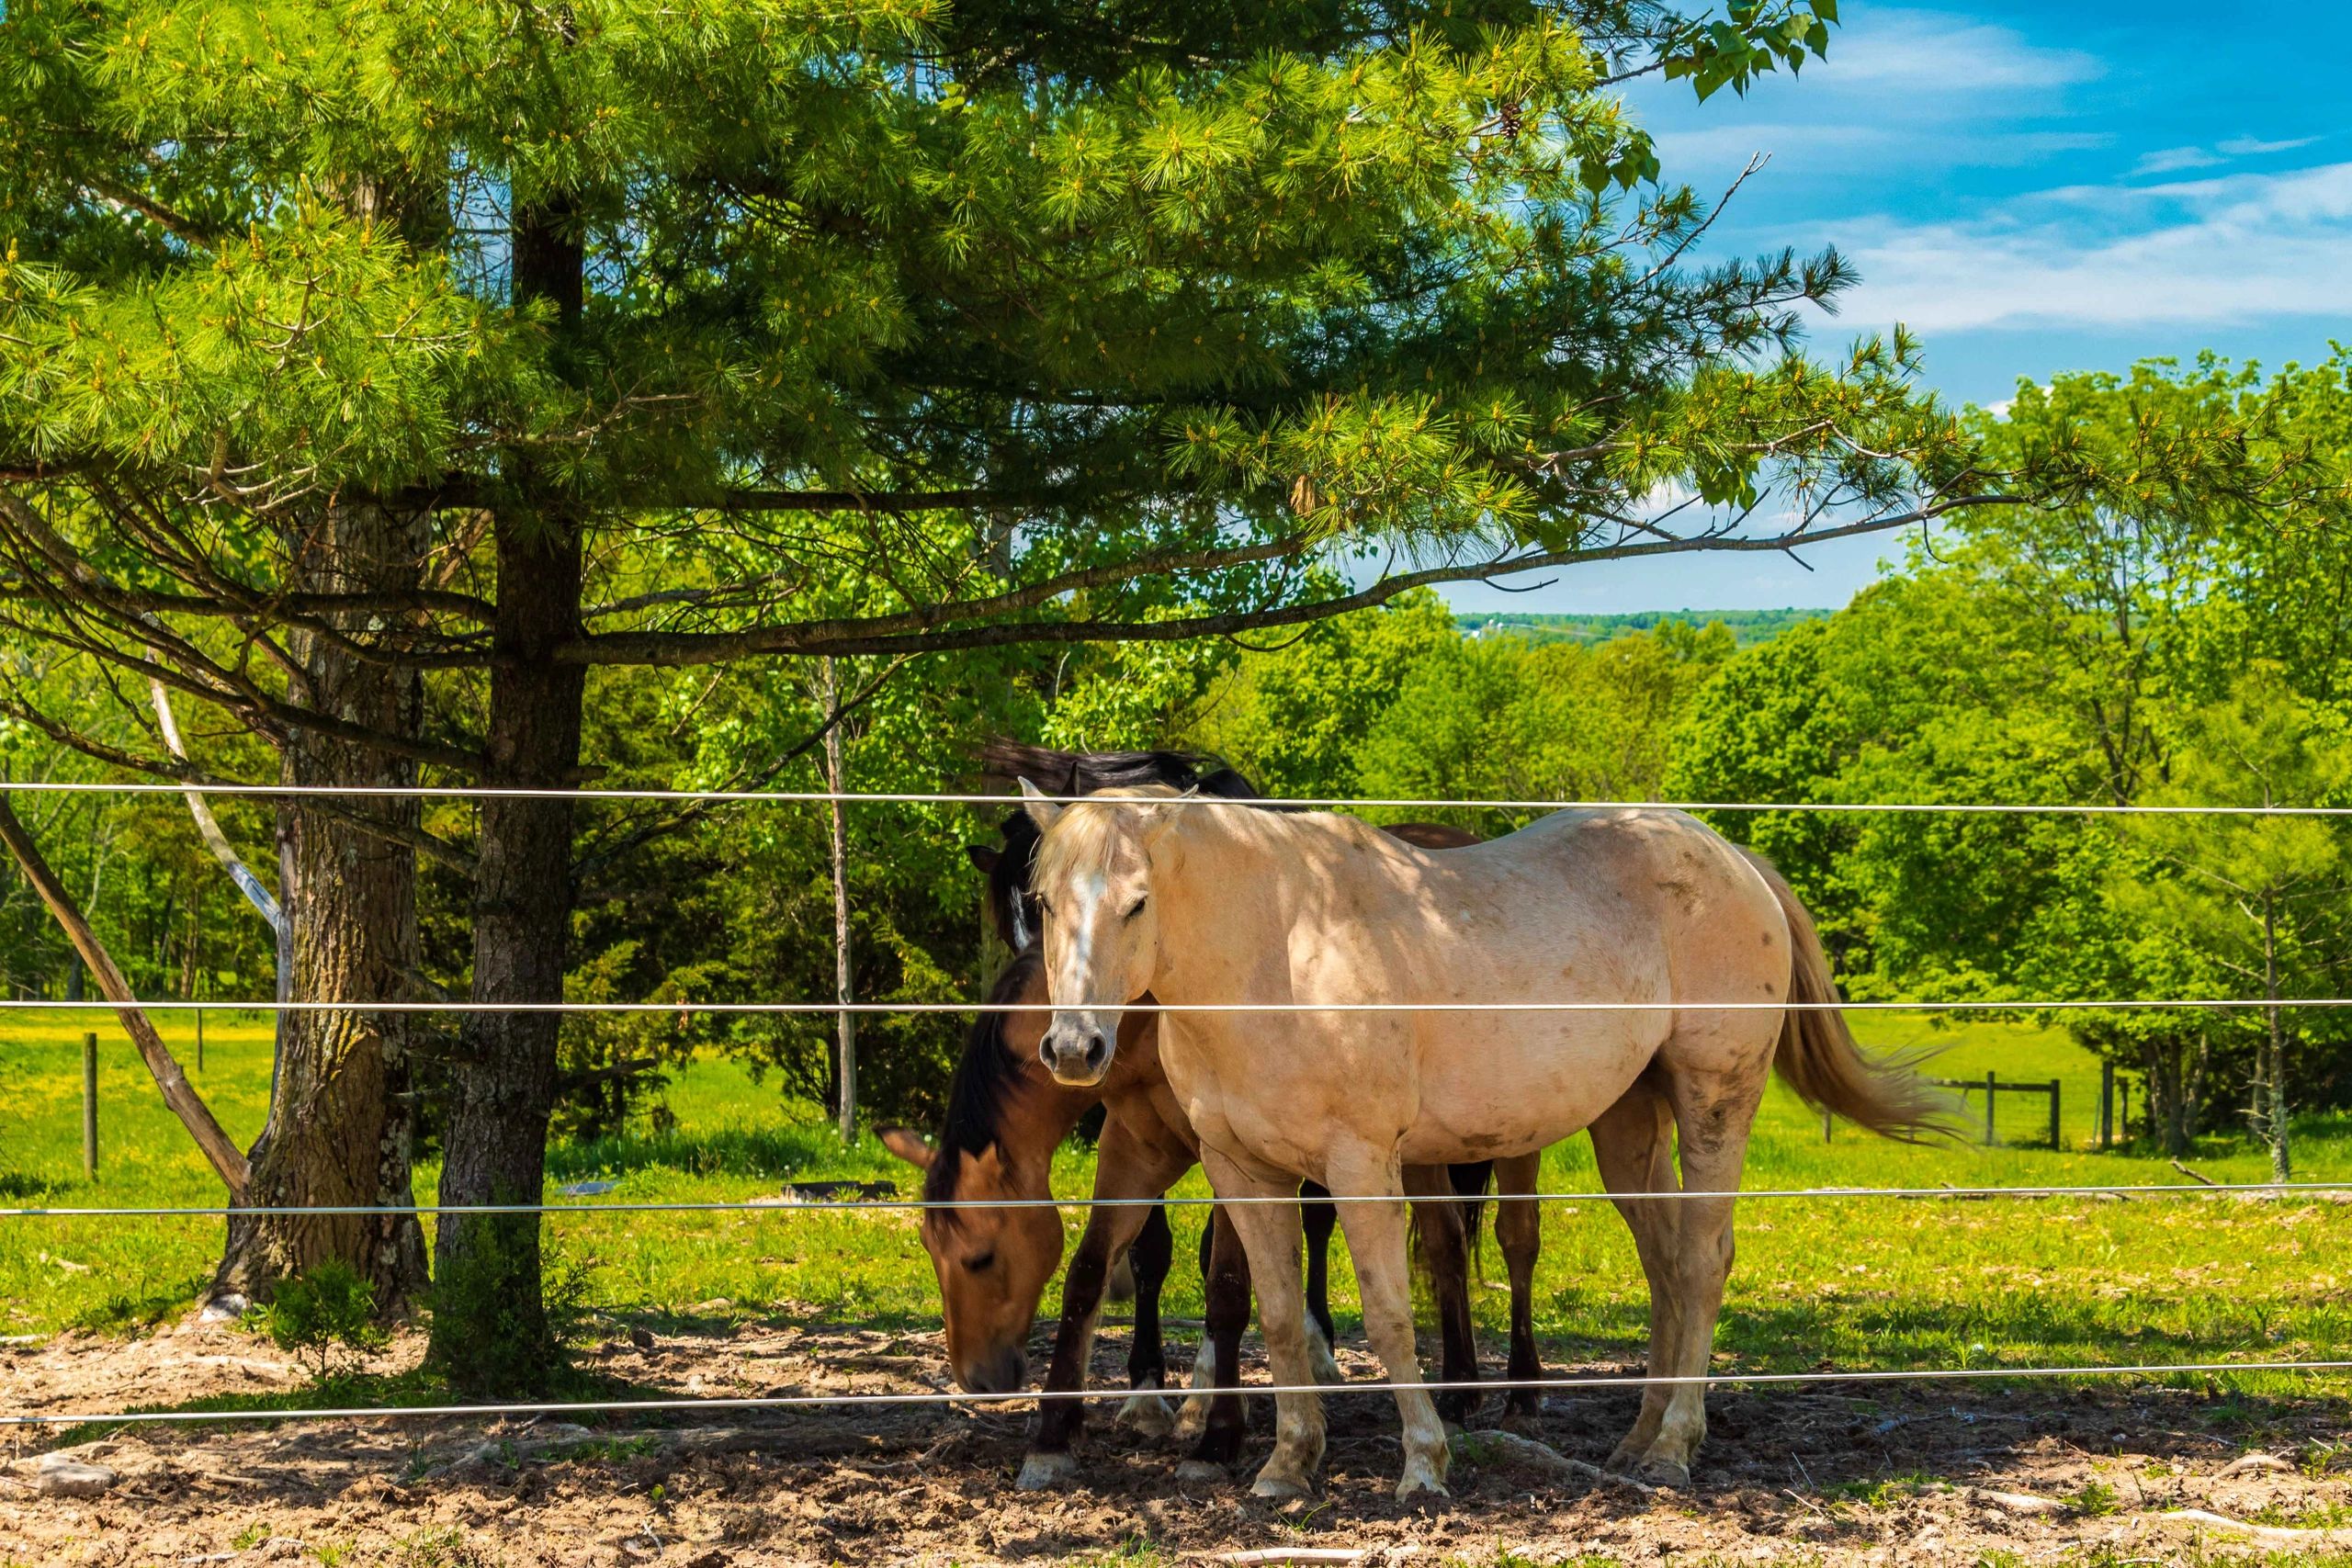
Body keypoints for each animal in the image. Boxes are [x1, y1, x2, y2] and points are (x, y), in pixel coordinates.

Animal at [1020, 784, 1950, 1500]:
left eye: (1138, 902)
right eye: (1046, 903)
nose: (1076, 1048)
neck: (1277, 955)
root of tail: (1733, 858)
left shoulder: (1362, 1165)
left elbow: (1390, 1314)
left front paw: (1424, 1463)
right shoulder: (1242, 1170)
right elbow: (1278, 1316)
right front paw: (1287, 1465)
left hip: (1715, 1100)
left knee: (1702, 1259)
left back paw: (1673, 1446)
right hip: (1628, 1125)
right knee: (1665, 1264)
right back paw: (1639, 1439)